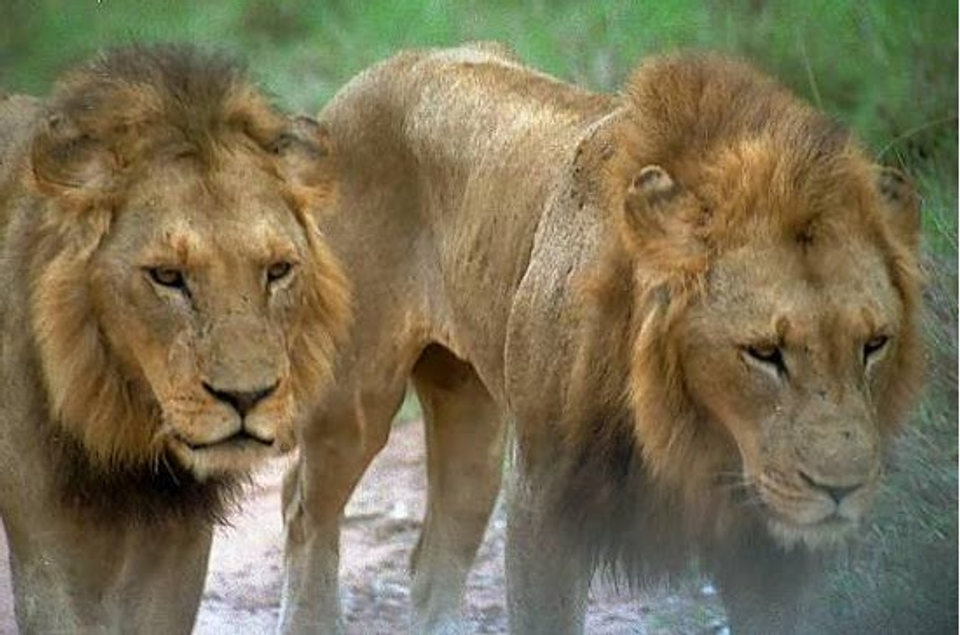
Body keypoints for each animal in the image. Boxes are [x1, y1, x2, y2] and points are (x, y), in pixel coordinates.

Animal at [277, 43, 922, 635]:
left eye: (874, 344)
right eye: (764, 353)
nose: (842, 489)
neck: (695, 431)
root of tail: (382, 67)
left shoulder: (765, 543)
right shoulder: (545, 498)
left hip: (471, 428)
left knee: (434, 556)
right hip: (351, 403)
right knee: (303, 509)